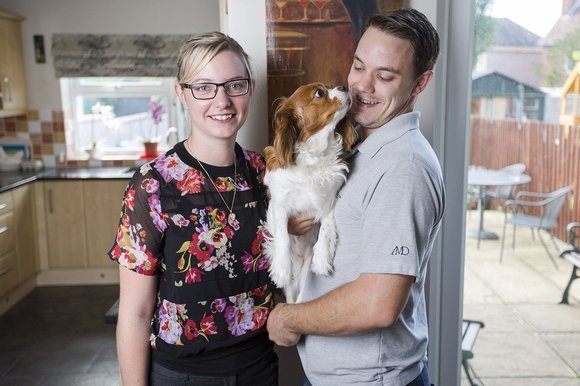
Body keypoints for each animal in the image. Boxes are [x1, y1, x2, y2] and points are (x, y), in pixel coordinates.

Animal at [262, 83, 354, 304]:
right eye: (319, 93)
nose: (344, 86)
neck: (315, 154)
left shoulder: (329, 201)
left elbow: (326, 227)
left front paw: (322, 258)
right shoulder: (279, 203)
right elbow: (282, 235)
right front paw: (280, 269)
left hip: (305, 273)